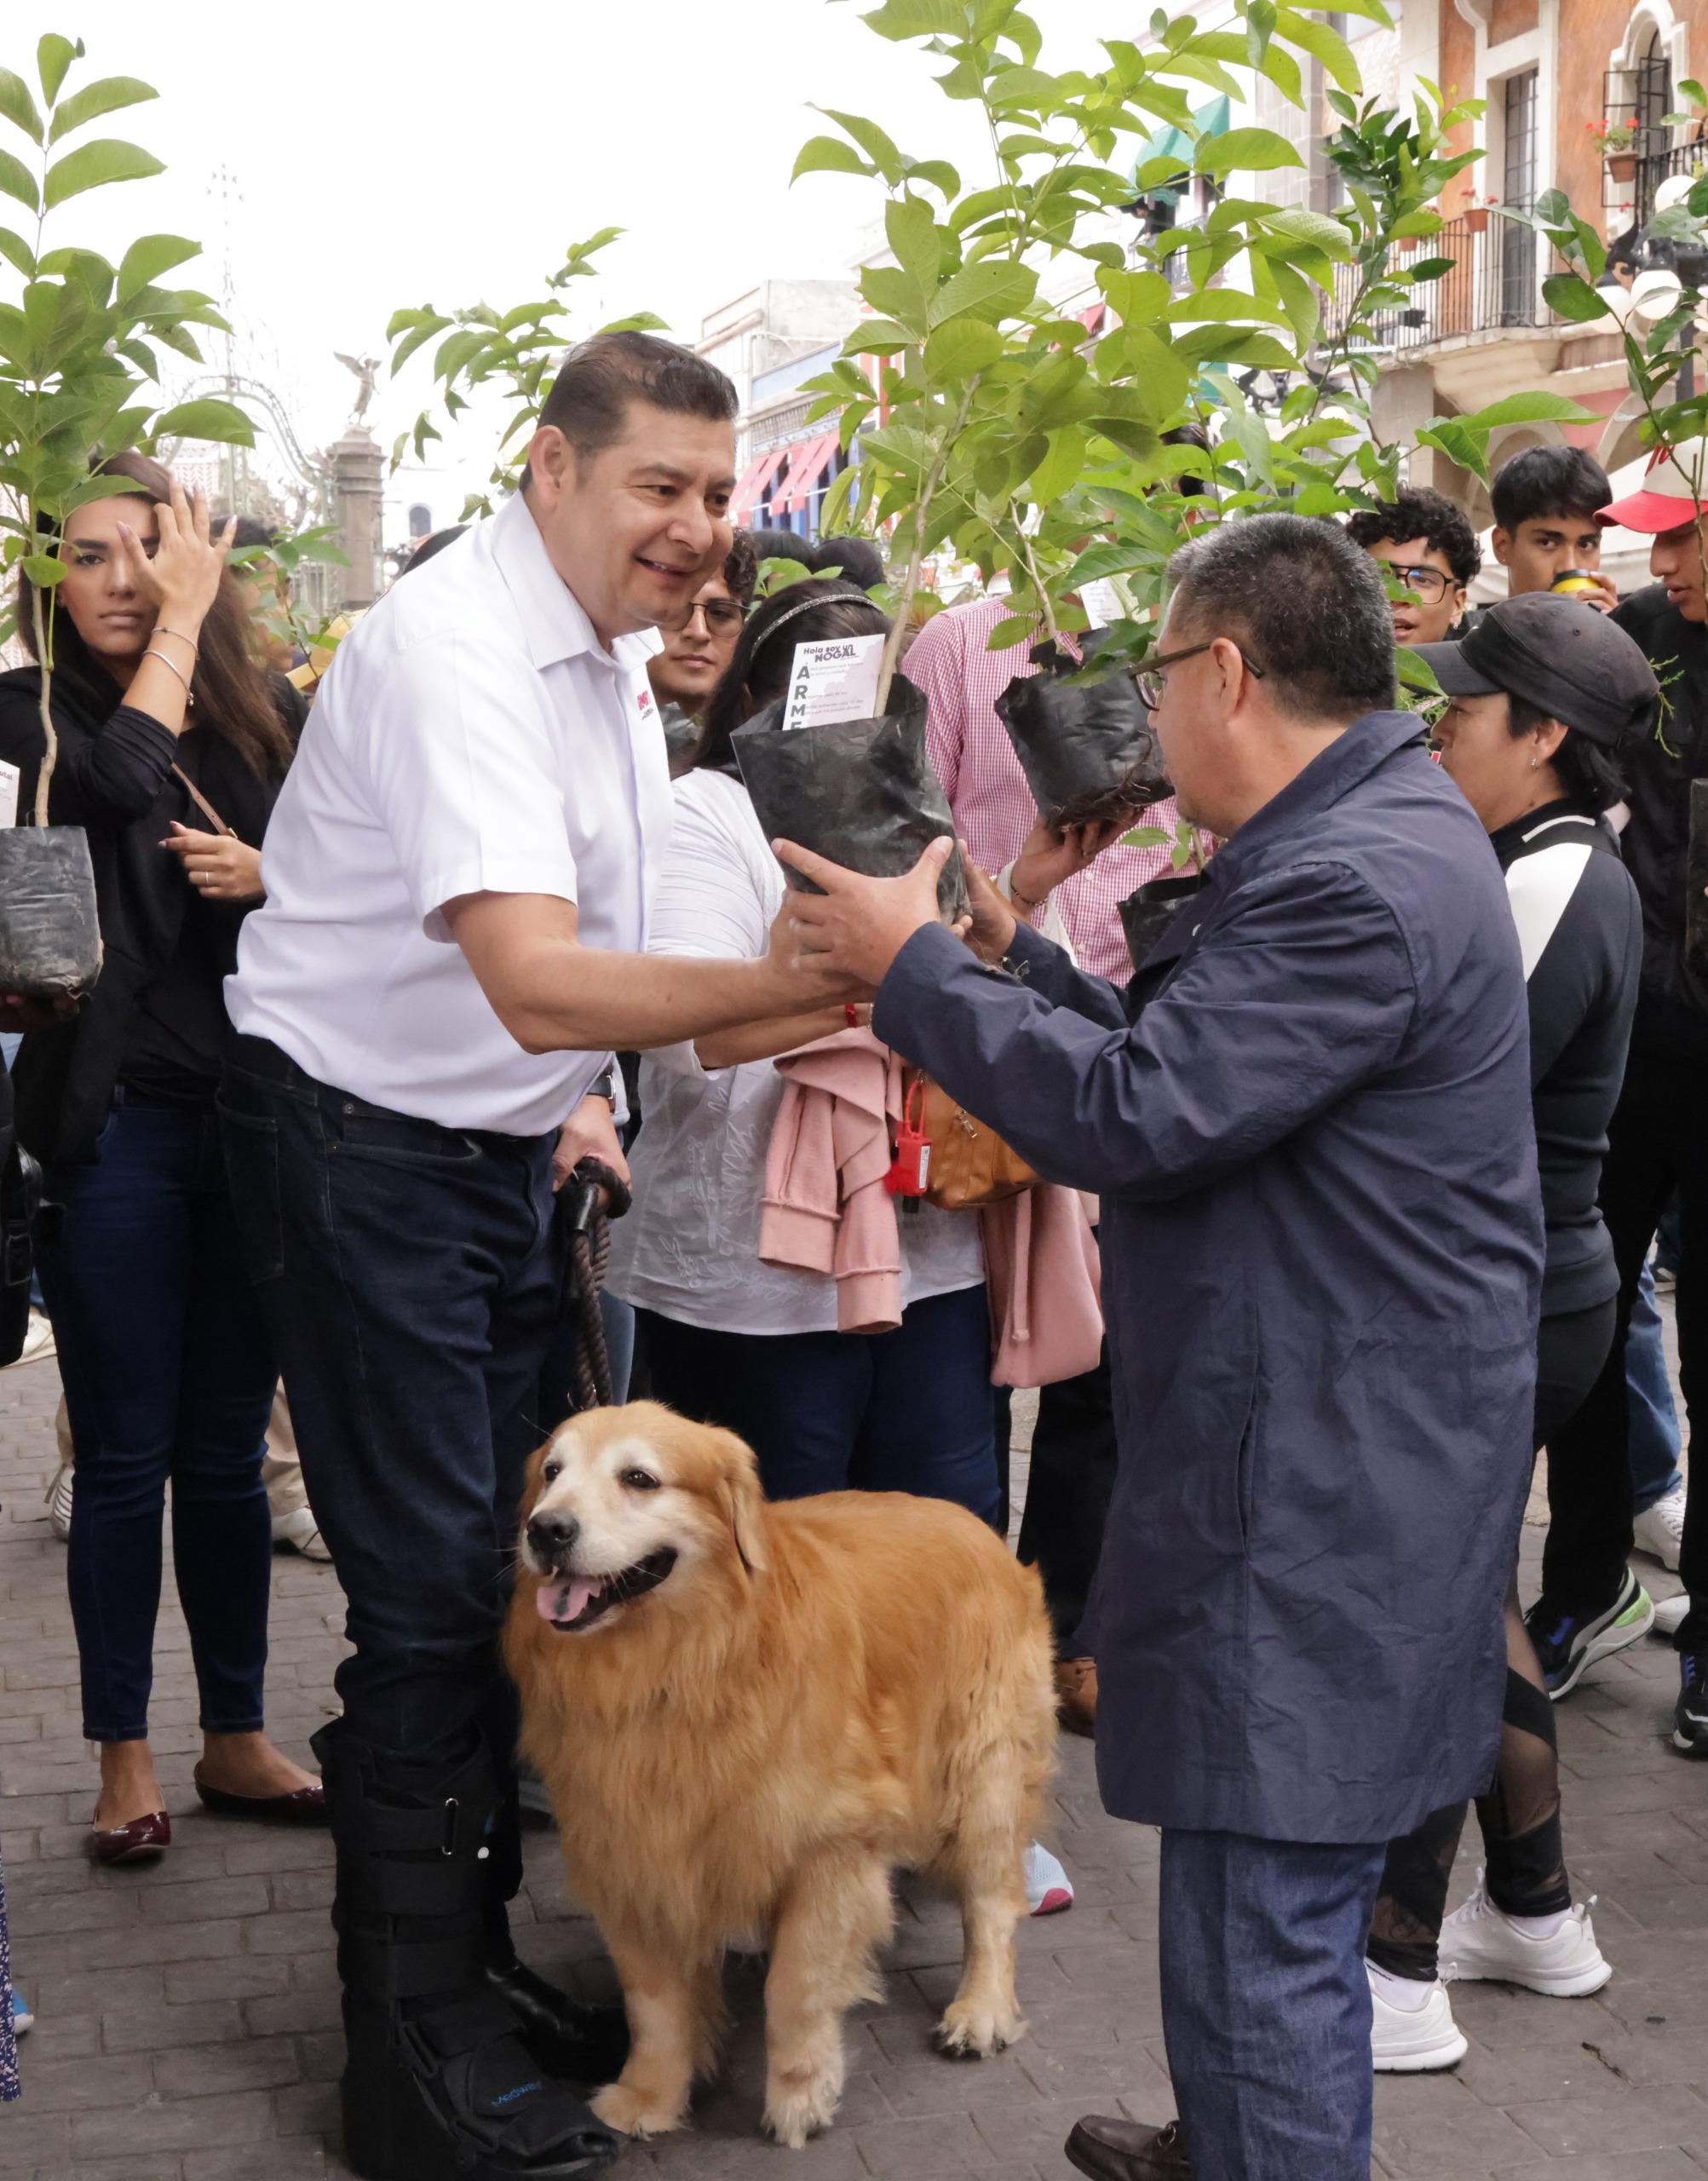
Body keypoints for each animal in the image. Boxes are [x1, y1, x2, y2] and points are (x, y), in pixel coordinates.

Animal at [503, 1395, 1055, 2146]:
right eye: (552, 1472)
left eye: (639, 1478)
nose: (546, 1529)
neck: (682, 1671)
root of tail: (979, 1529)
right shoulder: (632, 1852)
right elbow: (654, 2005)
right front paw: (648, 2097)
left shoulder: (828, 1847)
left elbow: (795, 1989)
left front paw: (799, 2097)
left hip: (982, 1777)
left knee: (992, 1904)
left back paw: (980, 2010)